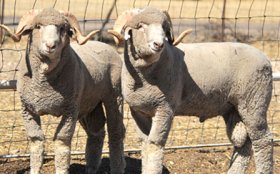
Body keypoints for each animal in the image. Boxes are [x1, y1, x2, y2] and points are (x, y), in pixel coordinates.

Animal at [0, 8, 124, 174]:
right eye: (37, 26)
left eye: (63, 28)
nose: (50, 45)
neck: (43, 83)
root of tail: (106, 46)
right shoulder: (27, 108)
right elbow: (35, 139)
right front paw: (34, 170)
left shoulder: (70, 111)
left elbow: (62, 141)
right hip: (89, 104)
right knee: (96, 132)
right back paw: (91, 167)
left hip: (114, 97)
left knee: (116, 131)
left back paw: (117, 167)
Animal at [109, 6, 274, 174]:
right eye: (141, 26)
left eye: (164, 28)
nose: (159, 44)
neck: (145, 77)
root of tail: (265, 59)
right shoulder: (139, 111)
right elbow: (144, 143)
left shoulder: (164, 108)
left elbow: (155, 144)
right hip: (234, 108)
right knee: (243, 143)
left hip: (254, 103)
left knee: (263, 140)